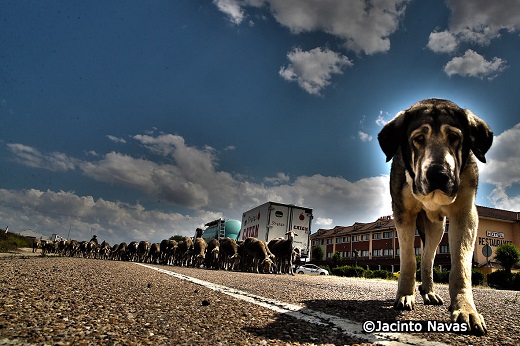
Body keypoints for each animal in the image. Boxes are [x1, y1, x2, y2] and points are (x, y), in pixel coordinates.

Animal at [378, 99, 492, 336]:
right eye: (419, 138)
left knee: (428, 258)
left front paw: (466, 309)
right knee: (421, 257)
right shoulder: (402, 212)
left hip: (437, 228)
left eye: (454, 137)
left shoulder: (465, 213)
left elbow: (460, 266)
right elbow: (408, 259)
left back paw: (429, 291)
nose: (439, 174)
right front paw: (405, 295)